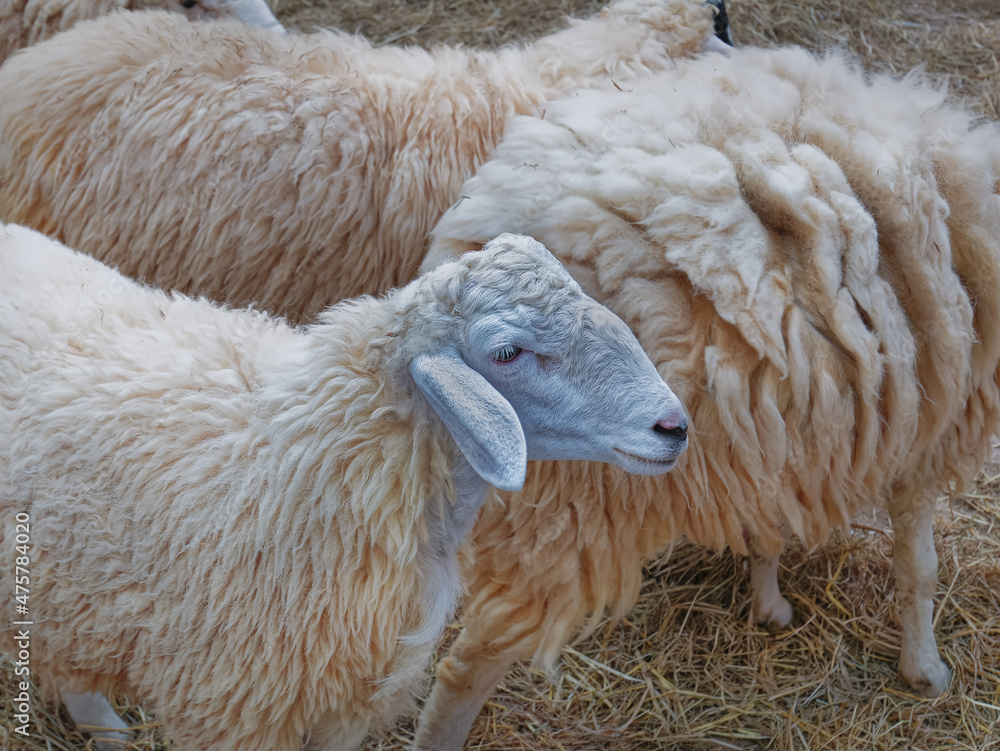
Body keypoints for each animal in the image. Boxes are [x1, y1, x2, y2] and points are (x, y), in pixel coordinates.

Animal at [414, 44, 1000, 749]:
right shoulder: (928, 429)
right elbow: (919, 567)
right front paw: (925, 671)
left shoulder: (770, 419)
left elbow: (770, 518)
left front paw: (768, 600)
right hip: (575, 496)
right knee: (463, 665)